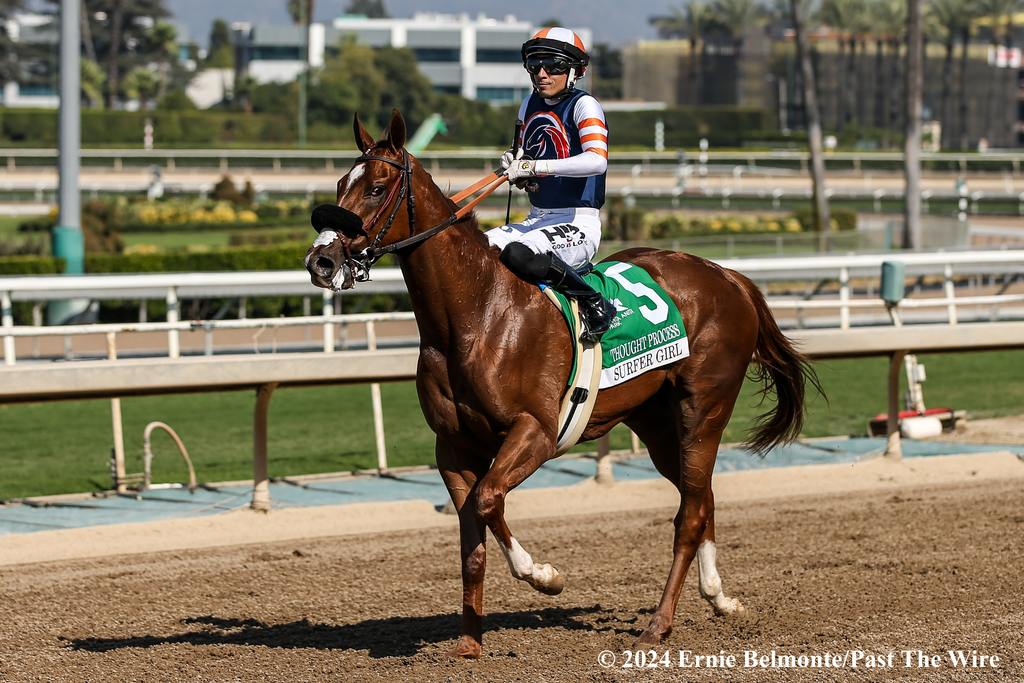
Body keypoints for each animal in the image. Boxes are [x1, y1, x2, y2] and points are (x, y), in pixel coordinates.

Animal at [303, 109, 815, 659]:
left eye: (376, 188)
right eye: (341, 184)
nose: (321, 261)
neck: (475, 314)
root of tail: (727, 275)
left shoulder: (537, 431)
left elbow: (488, 499)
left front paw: (545, 575)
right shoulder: (452, 445)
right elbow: (471, 534)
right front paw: (469, 644)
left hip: (704, 409)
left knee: (690, 514)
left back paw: (658, 623)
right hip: (658, 424)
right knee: (701, 498)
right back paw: (720, 598)